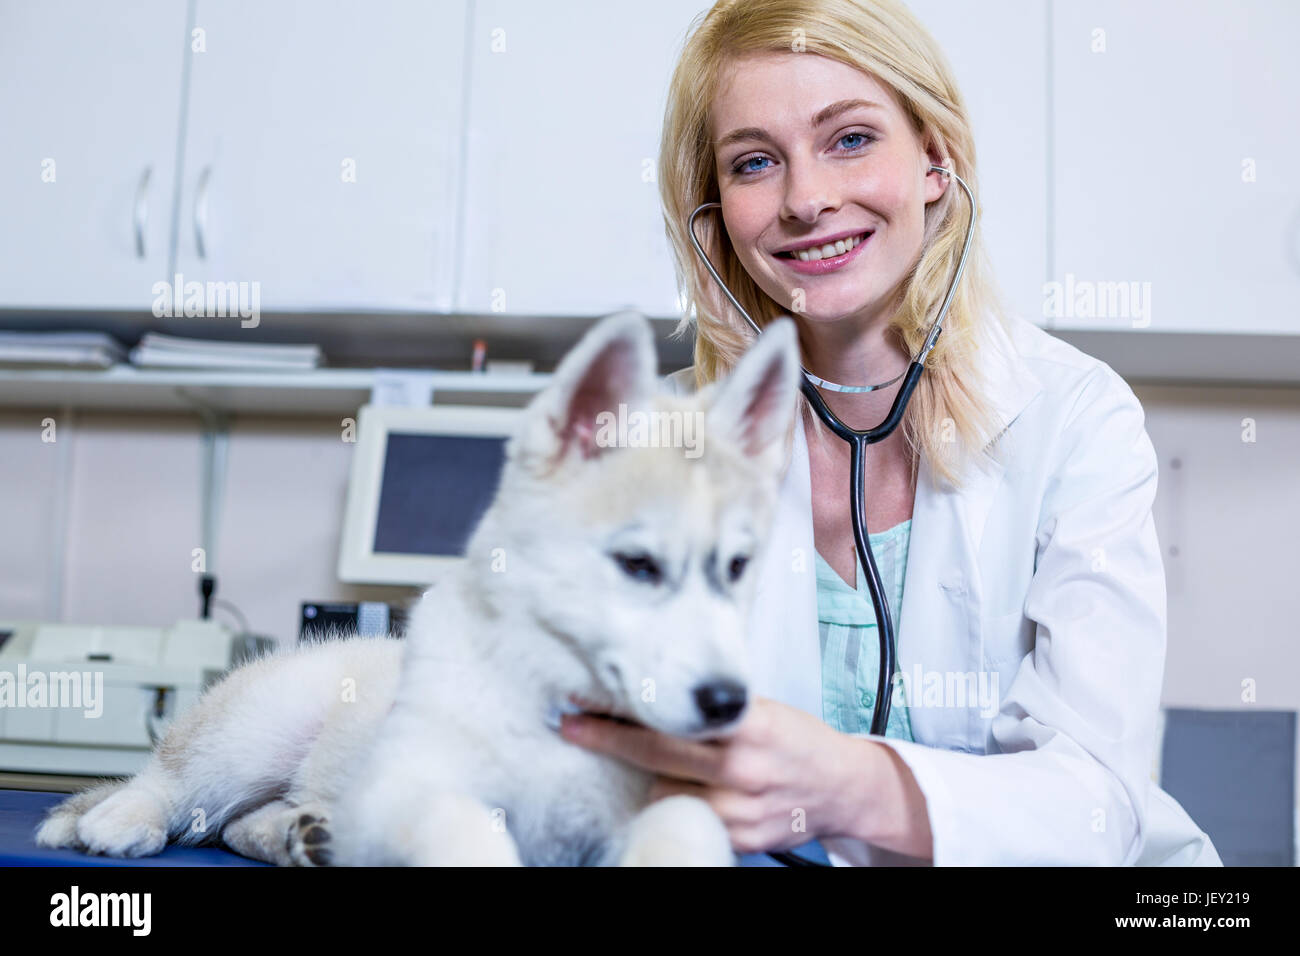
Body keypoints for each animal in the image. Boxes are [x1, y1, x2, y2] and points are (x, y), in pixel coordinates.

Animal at [38, 314, 800, 868]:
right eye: (638, 564)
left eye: (738, 567)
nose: (727, 703)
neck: (552, 701)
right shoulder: (414, 786)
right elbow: (463, 833)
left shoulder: (682, 803)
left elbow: (683, 833)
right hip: (258, 726)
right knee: (173, 782)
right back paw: (120, 818)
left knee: (237, 823)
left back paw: (301, 833)